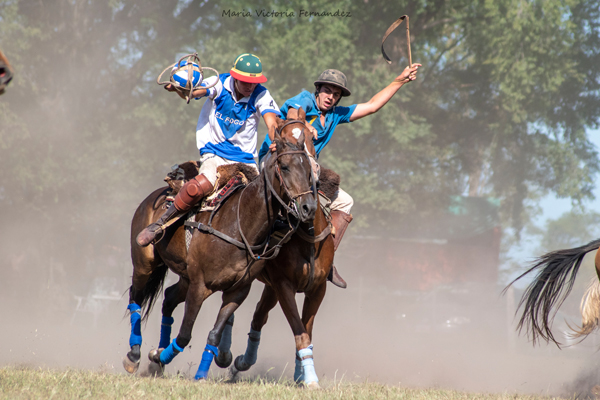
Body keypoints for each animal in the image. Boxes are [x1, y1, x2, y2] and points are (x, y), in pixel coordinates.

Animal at [123, 114, 318, 380]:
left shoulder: (236, 291)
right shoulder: (199, 286)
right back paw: (134, 355)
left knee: (169, 299)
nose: (309, 208)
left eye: (308, 170)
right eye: (285, 167)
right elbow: (184, 335)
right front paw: (158, 357)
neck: (240, 224)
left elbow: (214, 334)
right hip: (145, 263)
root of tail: (156, 195)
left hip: (184, 275)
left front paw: (196, 372)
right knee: (136, 297)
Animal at [217, 108, 336, 390]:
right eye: (280, 139)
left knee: (258, 315)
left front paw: (302, 374)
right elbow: (299, 332)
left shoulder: (318, 288)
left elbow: (306, 331)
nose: (307, 206)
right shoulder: (284, 285)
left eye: (311, 138)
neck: (308, 237)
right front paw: (311, 379)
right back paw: (229, 356)